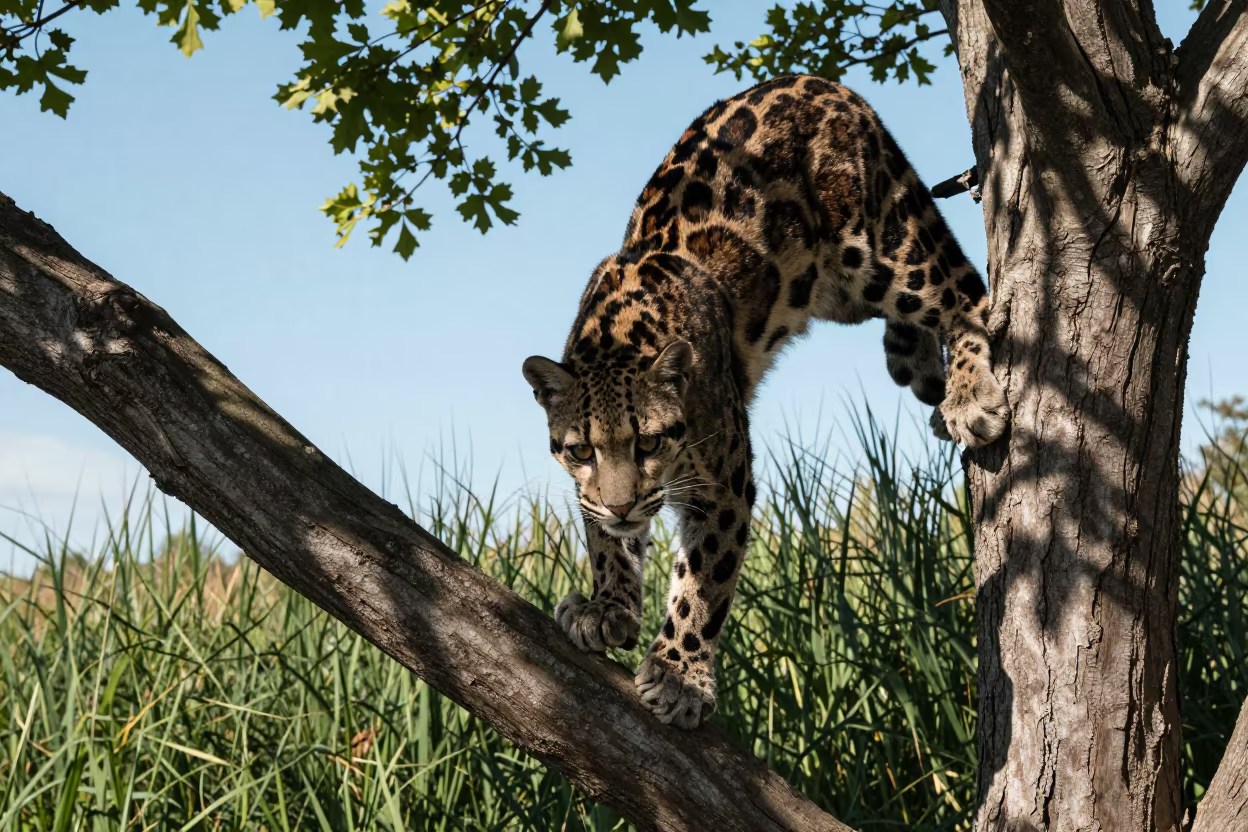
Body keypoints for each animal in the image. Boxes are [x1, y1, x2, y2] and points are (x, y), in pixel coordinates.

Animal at [522, 74, 1008, 729]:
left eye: (649, 441)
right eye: (579, 450)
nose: (624, 506)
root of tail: (823, 82)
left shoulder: (724, 480)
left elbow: (703, 583)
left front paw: (678, 676)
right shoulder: (592, 492)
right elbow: (606, 542)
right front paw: (607, 608)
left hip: (883, 248)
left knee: (967, 293)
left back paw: (966, 394)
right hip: (837, 293)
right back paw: (918, 360)